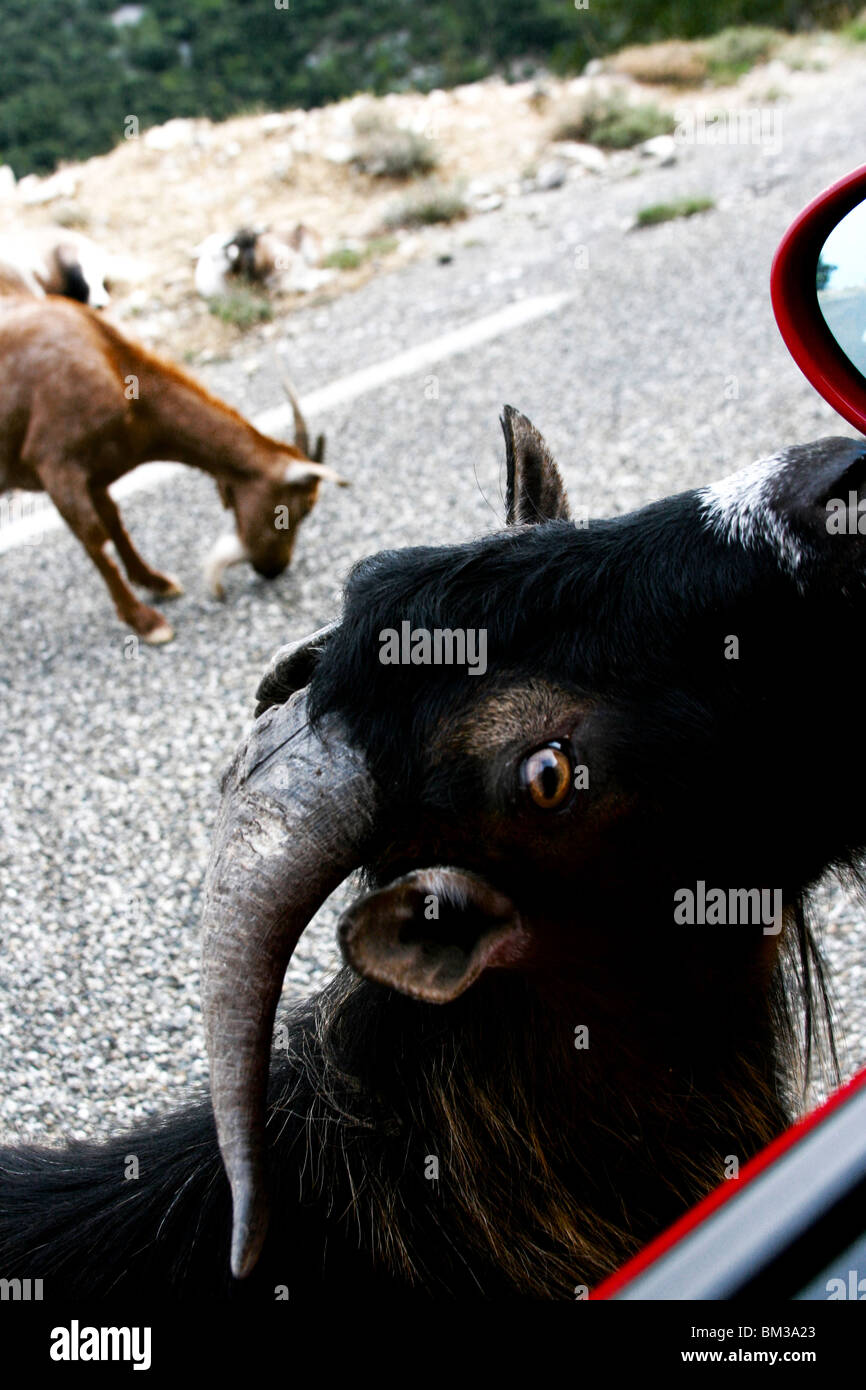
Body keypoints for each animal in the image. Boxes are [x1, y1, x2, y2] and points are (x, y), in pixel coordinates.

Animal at [0, 296, 346, 642]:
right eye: (299, 509)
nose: (275, 569)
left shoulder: (96, 476)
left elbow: (114, 523)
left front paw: (156, 582)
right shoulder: (56, 463)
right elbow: (95, 539)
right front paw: (145, 621)